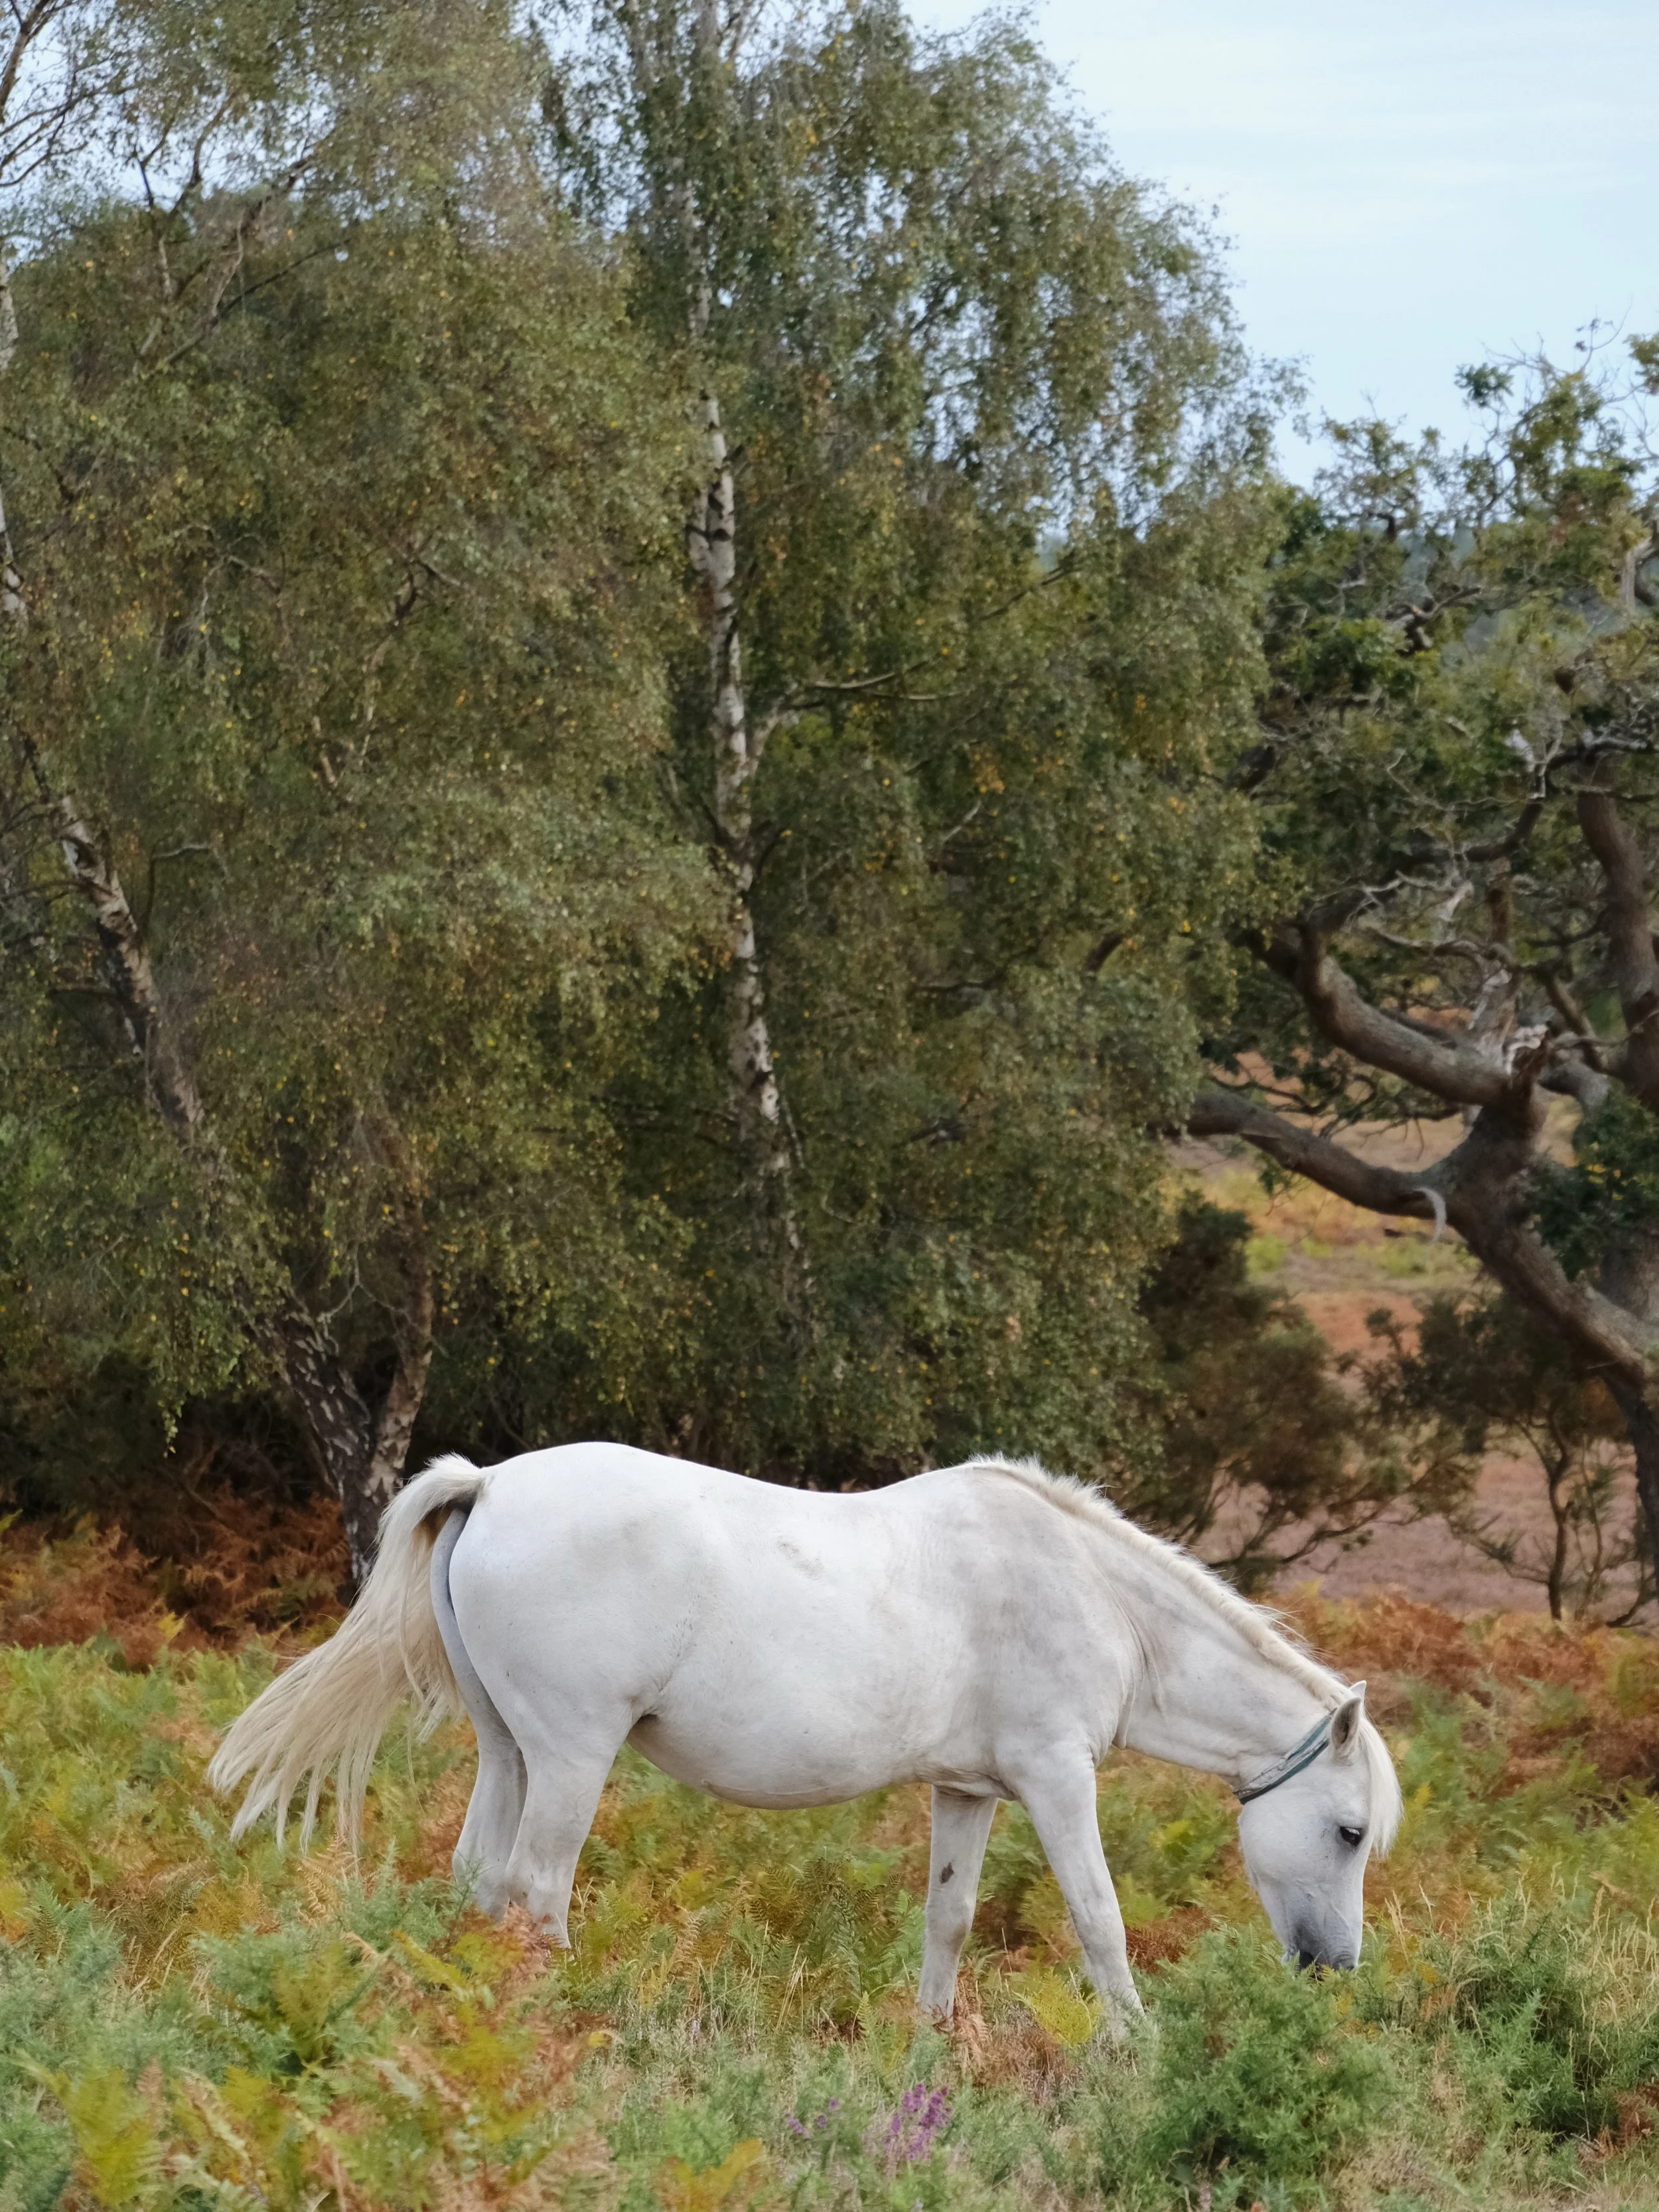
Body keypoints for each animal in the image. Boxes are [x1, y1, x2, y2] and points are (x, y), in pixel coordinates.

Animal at [210, 1444, 1401, 2023]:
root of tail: (492, 1484)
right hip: (569, 1759)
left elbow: (949, 1920)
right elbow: (1100, 1921)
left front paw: (930, 2048)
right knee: (538, 1893)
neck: (1091, 1593)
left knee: (478, 1883)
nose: (1334, 1968)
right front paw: (1135, 2047)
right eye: (1348, 1832)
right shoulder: (1057, 1779)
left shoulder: (969, 1790)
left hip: (508, 1753)